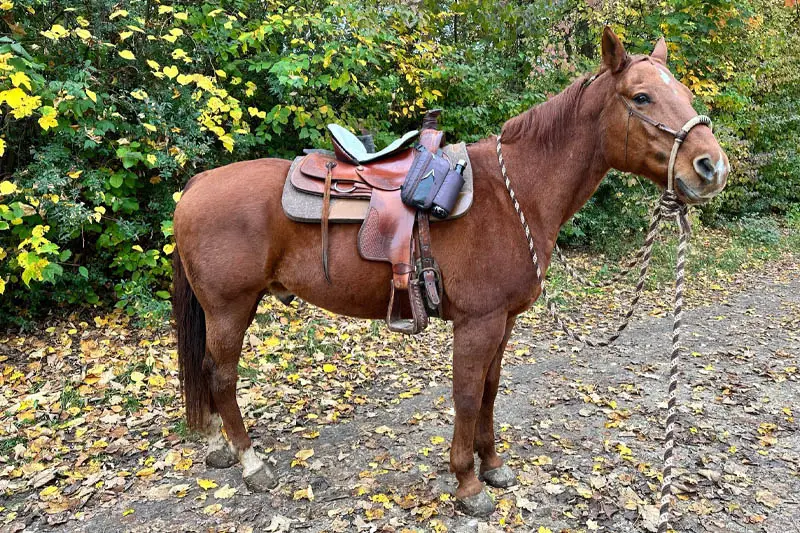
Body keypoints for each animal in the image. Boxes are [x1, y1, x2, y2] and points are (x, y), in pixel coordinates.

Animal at [172, 28, 729, 516]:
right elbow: (465, 394)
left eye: (682, 92)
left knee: (210, 372)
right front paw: (467, 483)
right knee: (221, 374)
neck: (514, 195)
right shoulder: (477, 323)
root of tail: (197, 183)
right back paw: (250, 462)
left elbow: (489, 389)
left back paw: (222, 449)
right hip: (230, 307)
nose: (711, 167)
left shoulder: (503, 322)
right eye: (641, 98)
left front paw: (494, 465)